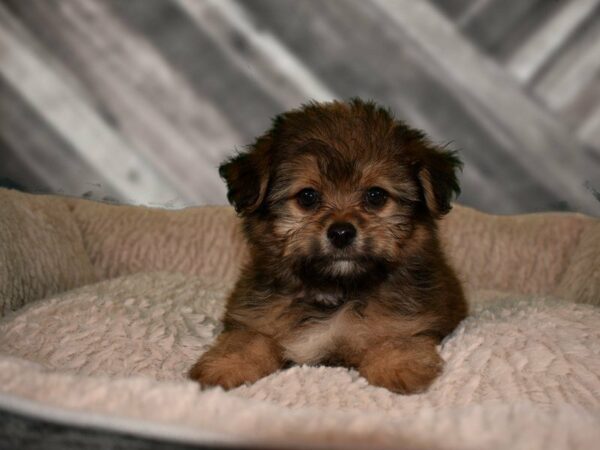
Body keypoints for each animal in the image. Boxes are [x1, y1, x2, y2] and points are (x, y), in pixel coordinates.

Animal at [190, 99, 466, 394]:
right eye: (307, 197)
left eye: (376, 195)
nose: (342, 232)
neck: (333, 291)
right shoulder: (254, 316)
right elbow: (247, 339)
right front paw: (225, 366)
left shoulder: (408, 319)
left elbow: (395, 337)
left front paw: (398, 366)